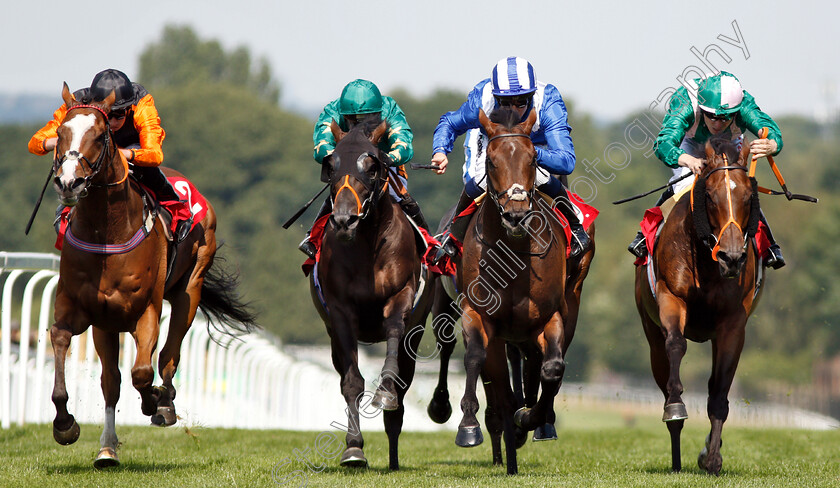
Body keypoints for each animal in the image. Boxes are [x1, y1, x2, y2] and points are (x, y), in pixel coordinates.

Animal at [49, 84, 256, 468]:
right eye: (61, 132)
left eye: (100, 136)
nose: (69, 182)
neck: (108, 232)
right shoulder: (83, 311)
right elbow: (61, 341)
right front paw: (65, 424)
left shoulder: (147, 310)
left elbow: (143, 372)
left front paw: (155, 401)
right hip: (107, 325)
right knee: (111, 382)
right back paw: (107, 449)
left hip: (190, 289)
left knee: (168, 356)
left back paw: (165, 401)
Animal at [308, 117, 426, 468]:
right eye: (331, 165)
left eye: (372, 166)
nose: (344, 219)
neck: (367, 246)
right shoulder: (340, 314)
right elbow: (351, 383)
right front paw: (353, 447)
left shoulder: (401, 297)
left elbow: (393, 334)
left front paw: (385, 389)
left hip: (416, 333)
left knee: (403, 389)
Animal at [452, 107, 576, 472]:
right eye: (491, 162)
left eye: (533, 158)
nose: (516, 215)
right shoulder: (477, 314)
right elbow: (476, 358)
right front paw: (468, 427)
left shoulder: (548, 318)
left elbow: (552, 368)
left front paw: (531, 418)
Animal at [636, 136, 768, 472]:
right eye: (709, 195)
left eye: (749, 195)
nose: (731, 257)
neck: (708, 266)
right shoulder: (671, 299)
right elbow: (676, 345)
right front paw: (675, 407)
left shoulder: (733, 325)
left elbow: (719, 394)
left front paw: (712, 457)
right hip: (650, 333)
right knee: (664, 372)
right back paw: (675, 453)